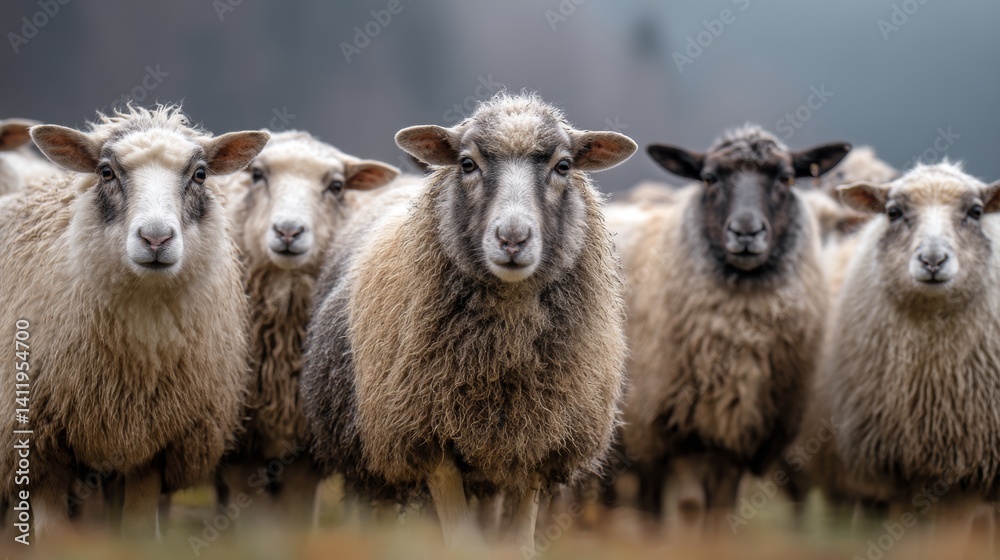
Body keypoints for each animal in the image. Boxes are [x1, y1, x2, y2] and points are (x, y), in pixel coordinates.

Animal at [0, 105, 268, 538]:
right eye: (106, 172)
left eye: (200, 174)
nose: (156, 239)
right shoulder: (37, 446)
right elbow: (54, 536)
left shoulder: (153, 445)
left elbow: (139, 531)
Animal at [300, 92, 636, 551]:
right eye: (467, 164)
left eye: (564, 166)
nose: (512, 239)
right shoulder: (427, 441)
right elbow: (461, 541)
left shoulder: (536, 442)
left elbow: (518, 545)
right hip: (365, 451)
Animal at [606, 125, 849, 533]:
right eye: (708, 179)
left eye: (787, 178)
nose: (746, 232)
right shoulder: (677, 427)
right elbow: (690, 507)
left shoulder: (738, 432)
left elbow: (721, 510)